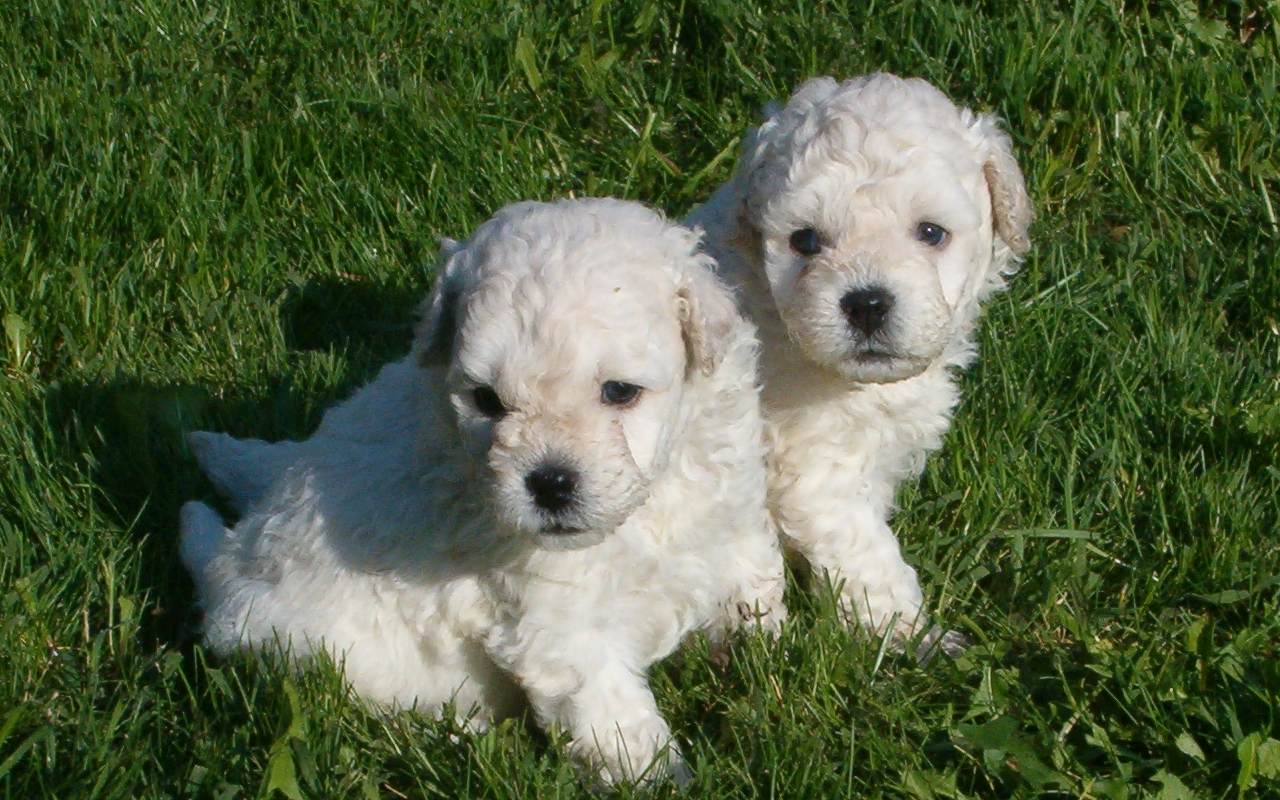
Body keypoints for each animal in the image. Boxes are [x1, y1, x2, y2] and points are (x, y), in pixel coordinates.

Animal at [177, 197, 778, 783]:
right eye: (487, 400)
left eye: (620, 391)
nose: (549, 483)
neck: (649, 504)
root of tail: (222, 575)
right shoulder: (561, 625)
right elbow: (614, 719)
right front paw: (656, 778)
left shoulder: (733, 511)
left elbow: (755, 582)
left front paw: (770, 656)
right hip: (320, 659)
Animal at [686, 71, 1034, 655]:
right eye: (805, 240)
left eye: (931, 232)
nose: (867, 303)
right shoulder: (815, 470)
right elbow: (865, 553)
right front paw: (908, 634)